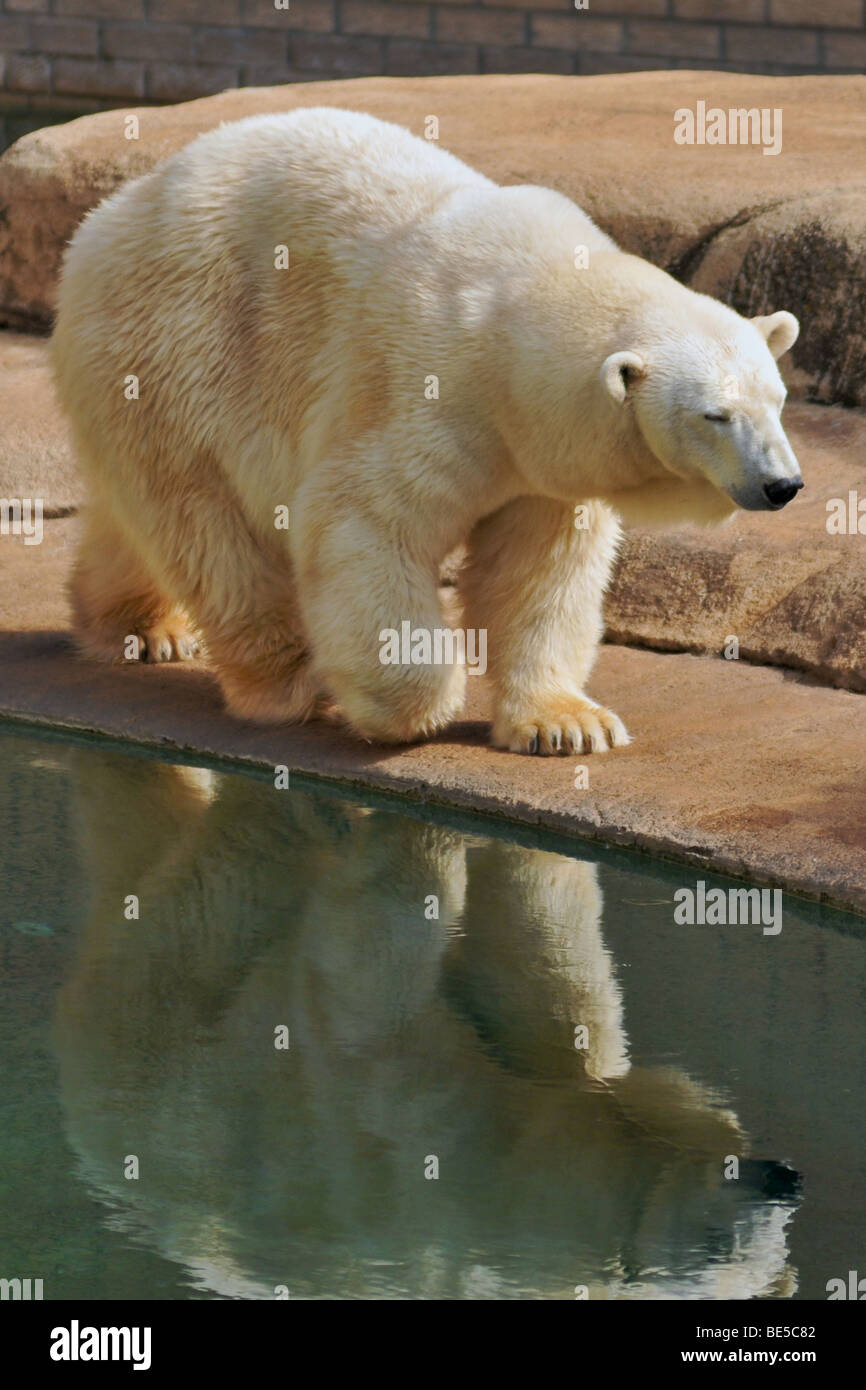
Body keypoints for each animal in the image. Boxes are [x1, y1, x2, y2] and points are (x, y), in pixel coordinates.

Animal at [51, 108, 802, 755]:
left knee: (141, 518)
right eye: (715, 415)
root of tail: (101, 224)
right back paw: (287, 681)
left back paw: (139, 628)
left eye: (778, 399)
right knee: (213, 531)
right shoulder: (427, 386)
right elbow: (365, 524)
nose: (782, 484)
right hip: (179, 353)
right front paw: (417, 704)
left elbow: (539, 571)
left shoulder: (541, 465)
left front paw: (568, 725)